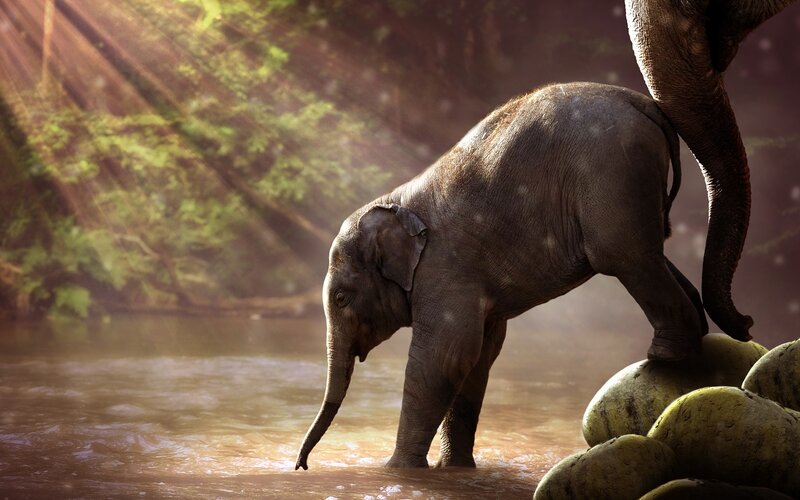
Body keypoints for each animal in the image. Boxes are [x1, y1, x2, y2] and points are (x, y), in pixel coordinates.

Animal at [295, 82, 711, 470]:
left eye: (341, 298)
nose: (301, 465)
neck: (396, 201)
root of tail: (641, 103)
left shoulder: (445, 269)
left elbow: (445, 356)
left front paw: (398, 471)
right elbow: (479, 356)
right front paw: (455, 469)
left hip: (612, 173)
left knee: (625, 256)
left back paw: (665, 353)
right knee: (652, 253)